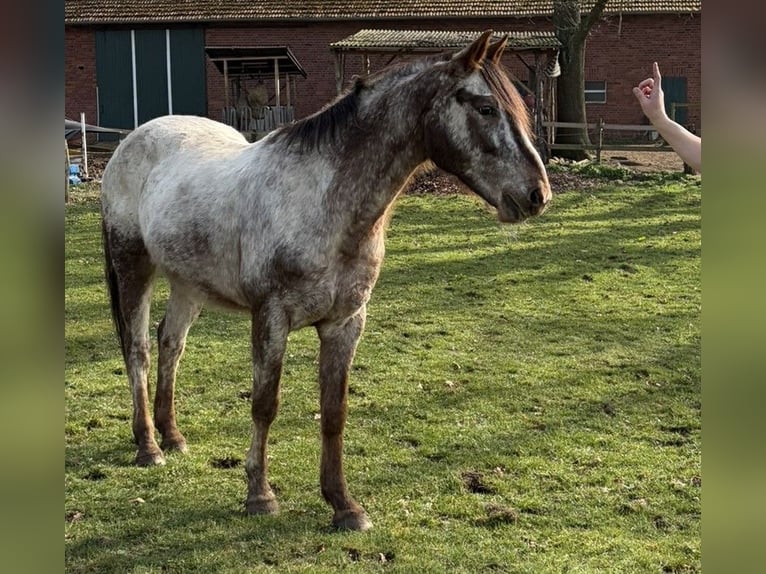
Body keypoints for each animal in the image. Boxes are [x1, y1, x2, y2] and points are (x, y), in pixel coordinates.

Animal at [100, 30, 552, 531]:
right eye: (487, 108)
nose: (537, 194)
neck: (325, 202)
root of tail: (133, 141)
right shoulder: (271, 317)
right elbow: (265, 404)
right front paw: (260, 495)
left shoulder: (345, 323)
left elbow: (334, 412)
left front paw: (344, 505)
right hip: (133, 265)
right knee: (138, 349)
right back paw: (148, 445)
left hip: (188, 283)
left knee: (170, 343)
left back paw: (173, 435)